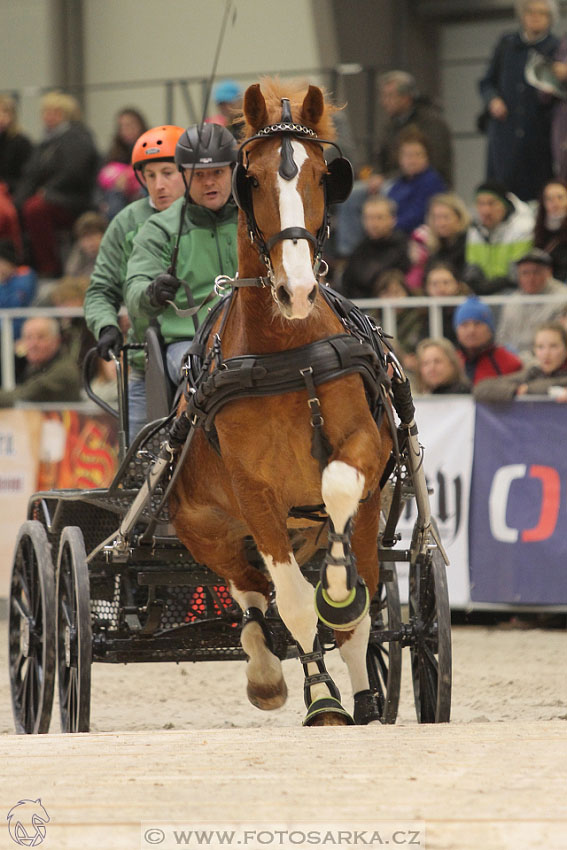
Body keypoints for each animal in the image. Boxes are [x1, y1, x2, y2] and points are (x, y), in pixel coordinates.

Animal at [175, 79, 392, 724]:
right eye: (252, 178)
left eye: (324, 176)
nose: (296, 289)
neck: (286, 354)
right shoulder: (252, 491)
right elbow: (292, 605)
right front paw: (319, 695)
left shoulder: (364, 447)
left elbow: (339, 491)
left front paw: (340, 594)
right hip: (205, 530)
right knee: (250, 595)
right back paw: (274, 676)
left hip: (368, 511)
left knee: (357, 603)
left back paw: (366, 695)